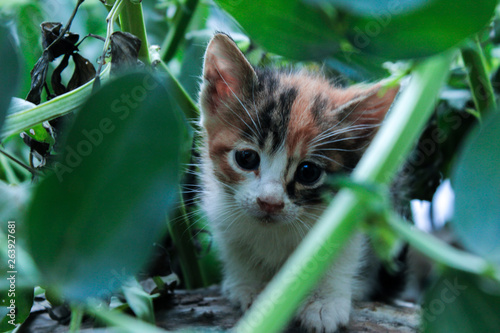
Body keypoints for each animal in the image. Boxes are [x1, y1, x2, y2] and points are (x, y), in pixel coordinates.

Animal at [198, 32, 398, 330]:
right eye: (246, 158)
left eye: (308, 172)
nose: (269, 202)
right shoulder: (223, 212)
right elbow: (237, 251)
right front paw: (251, 286)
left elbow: (339, 251)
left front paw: (324, 301)